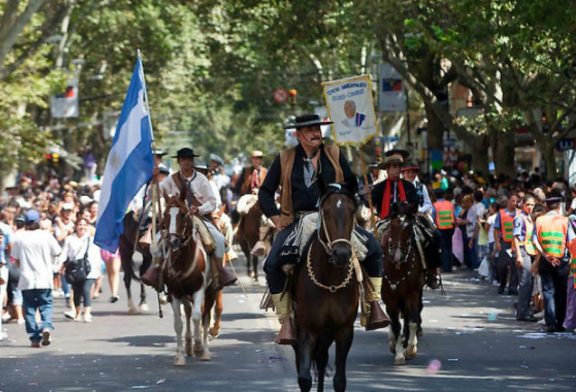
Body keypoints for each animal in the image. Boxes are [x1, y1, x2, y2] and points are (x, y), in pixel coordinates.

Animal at [161, 194, 217, 366]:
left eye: (183, 214)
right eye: (165, 215)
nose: (173, 242)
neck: (182, 261)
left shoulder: (199, 290)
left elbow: (198, 317)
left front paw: (199, 347)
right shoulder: (174, 293)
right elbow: (178, 324)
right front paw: (180, 356)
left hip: (211, 292)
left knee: (205, 317)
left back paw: (204, 350)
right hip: (184, 294)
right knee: (187, 311)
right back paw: (188, 346)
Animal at [292, 187, 360, 392]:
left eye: (352, 211)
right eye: (326, 212)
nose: (342, 254)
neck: (330, 281)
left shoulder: (344, 330)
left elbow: (340, 380)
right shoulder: (307, 329)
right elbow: (304, 378)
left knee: (321, 360)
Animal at [380, 208, 426, 364]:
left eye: (408, 229)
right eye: (392, 227)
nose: (397, 256)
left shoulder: (412, 294)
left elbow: (412, 321)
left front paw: (411, 349)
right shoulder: (390, 297)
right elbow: (395, 325)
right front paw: (399, 354)